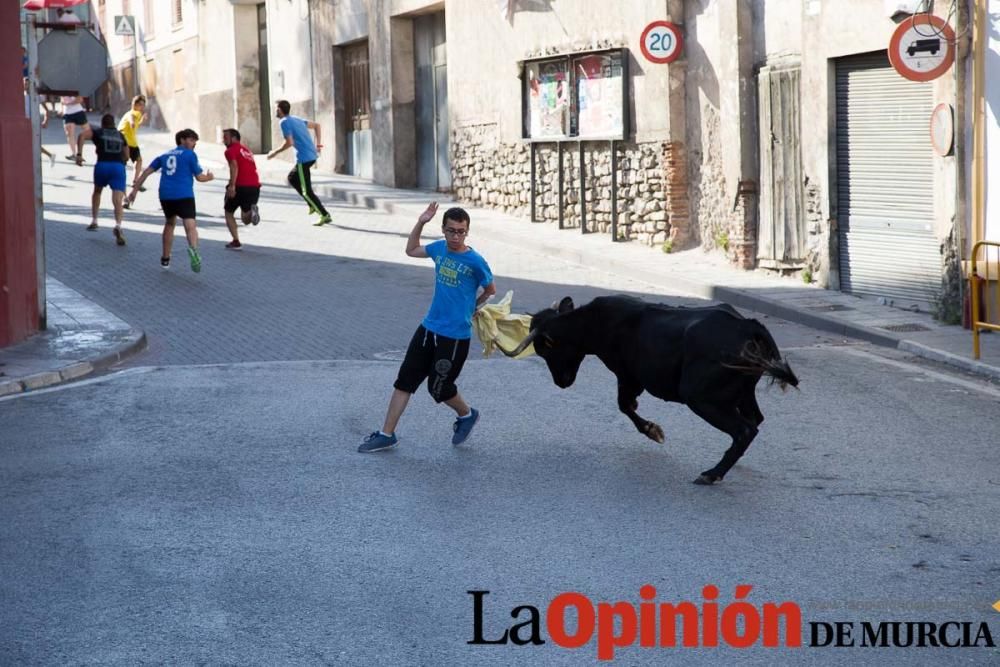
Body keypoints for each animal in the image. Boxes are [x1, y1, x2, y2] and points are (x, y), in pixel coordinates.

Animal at [498, 298, 796, 486]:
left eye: (545, 349)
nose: (562, 382)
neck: (594, 323)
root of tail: (749, 326)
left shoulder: (627, 377)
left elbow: (625, 406)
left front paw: (655, 431)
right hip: (742, 393)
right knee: (753, 422)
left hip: (701, 397)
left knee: (744, 429)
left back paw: (712, 474)